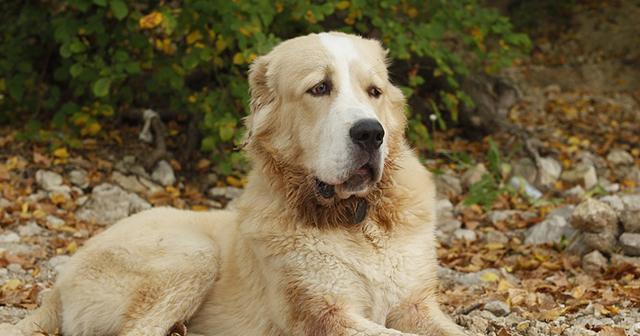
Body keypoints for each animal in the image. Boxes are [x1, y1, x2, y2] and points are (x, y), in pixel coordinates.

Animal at [2, 32, 468, 336]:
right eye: (320, 88)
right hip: (192, 254)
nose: (371, 133)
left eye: (374, 91)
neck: (356, 218)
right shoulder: (323, 313)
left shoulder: (415, 304)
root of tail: (57, 286)